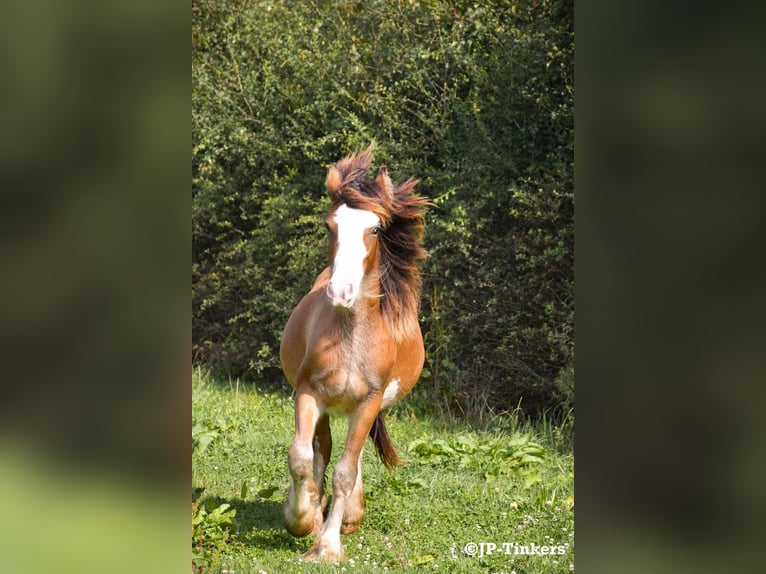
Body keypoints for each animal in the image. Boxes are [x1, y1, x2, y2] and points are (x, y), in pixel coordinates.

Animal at [280, 146, 432, 564]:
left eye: (375, 229)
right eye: (329, 226)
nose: (341, 292)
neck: (350, 338)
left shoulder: (367, 403)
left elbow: (346, 473)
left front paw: (329, 545)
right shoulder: (309, 394)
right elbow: (301, 457)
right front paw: (302, 519)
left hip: (361, 410)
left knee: (353, 456)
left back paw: (348, 515)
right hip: (328, 407)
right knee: (321, 450)